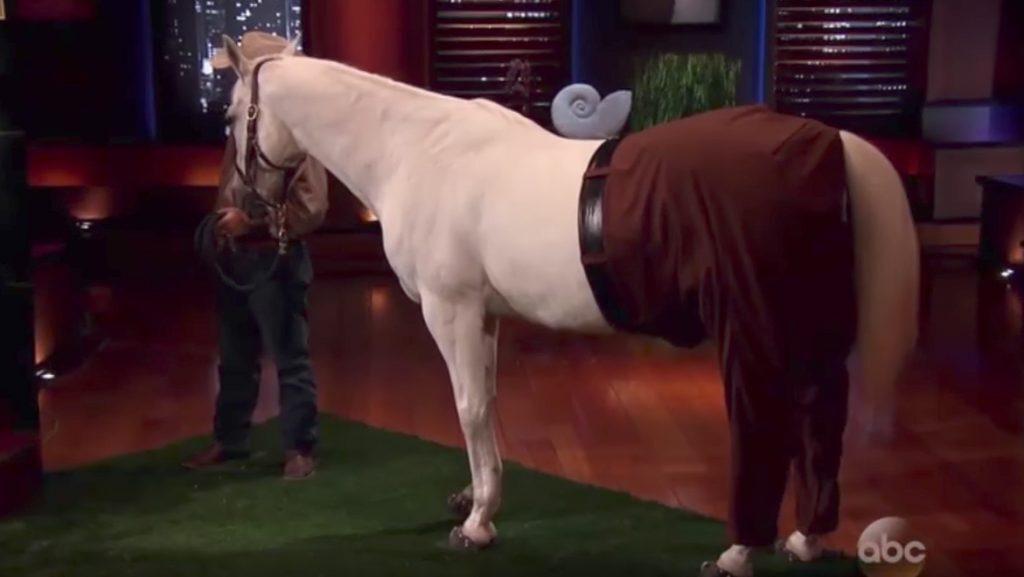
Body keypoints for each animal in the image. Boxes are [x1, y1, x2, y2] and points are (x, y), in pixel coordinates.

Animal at [216, 35, 919, 574]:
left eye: (229, 117)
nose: (242, 210)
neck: (419, 151)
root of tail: (824, 140)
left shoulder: (451, 310)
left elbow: (468, 407)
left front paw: (478, 524)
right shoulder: (484, 317)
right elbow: (486, 403)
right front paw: (475, 495)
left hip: (755, 327)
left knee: (765, 426)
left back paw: (739, 552)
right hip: (811, 333)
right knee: (822, 421)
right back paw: (806, 539)